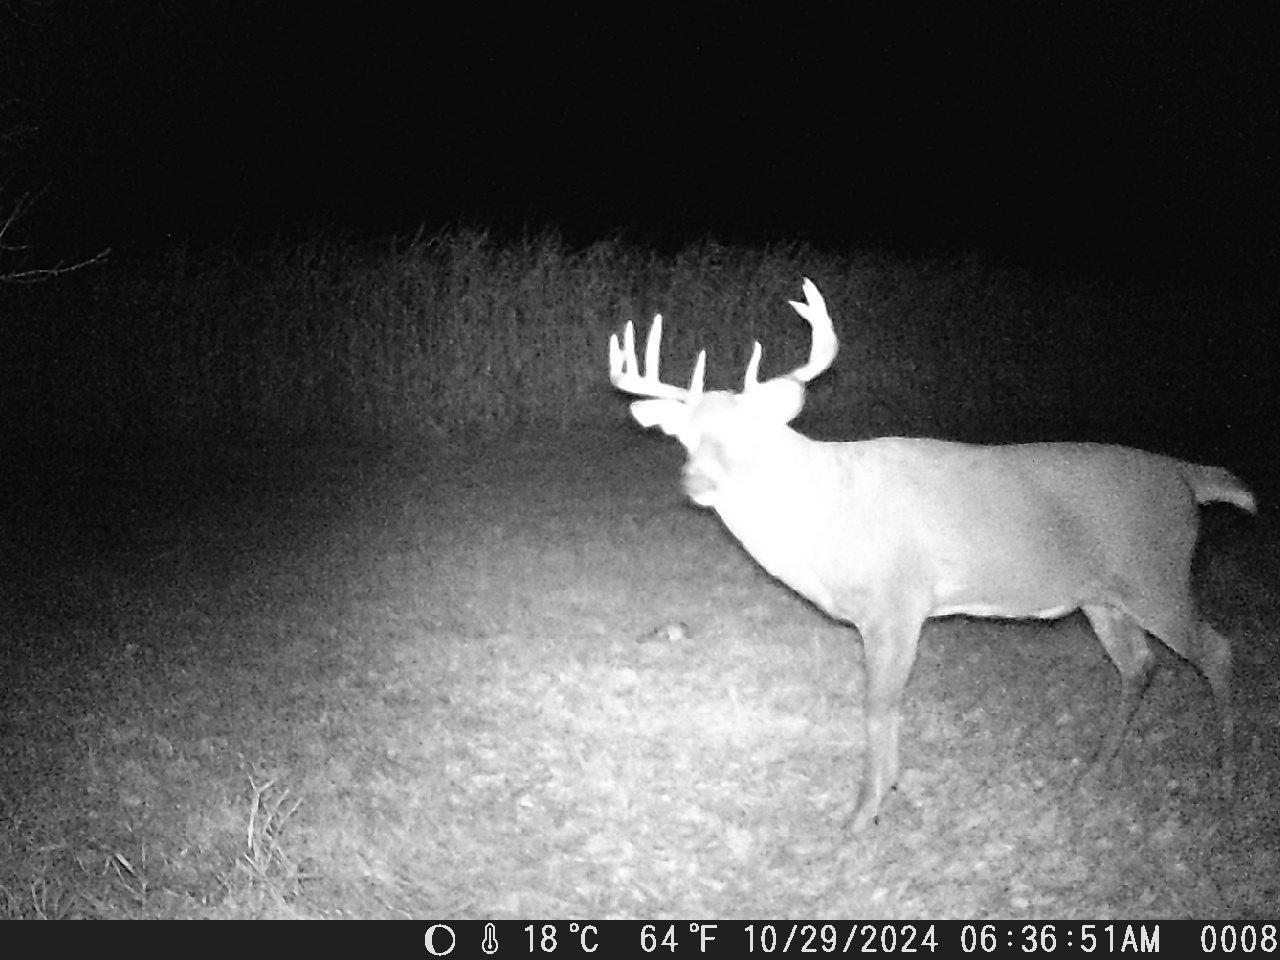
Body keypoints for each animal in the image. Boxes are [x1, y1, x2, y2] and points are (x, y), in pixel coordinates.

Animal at [608, 278, 1256, 831]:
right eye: (682, 436)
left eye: (750, 433)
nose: (694, 481)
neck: (826, 514)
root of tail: (1186, 478)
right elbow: (886, 706)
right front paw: (885, 795)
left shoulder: (897, 603)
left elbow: (877, 705)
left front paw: (861, 814)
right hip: (1103, 597)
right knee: (1140, 665)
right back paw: (1097, 769)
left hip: (1158, 573)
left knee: (1218, 651)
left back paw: (1227, 785)